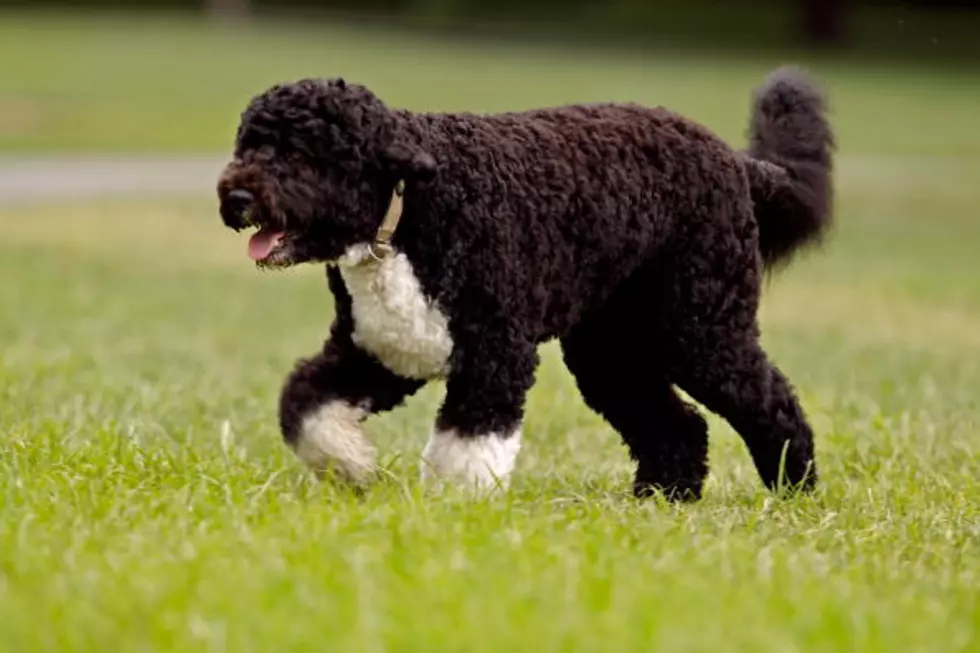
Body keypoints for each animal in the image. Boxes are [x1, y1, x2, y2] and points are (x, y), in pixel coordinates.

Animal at [216, 66, 836, 500]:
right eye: (248, 143)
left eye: (300, 152)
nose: (236, 196)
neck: (410, 210)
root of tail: (737, 162)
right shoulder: (379, 350)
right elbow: (306, 404)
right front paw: (351, 465)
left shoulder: (496, 353)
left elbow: (467, 446)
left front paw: (452, 511)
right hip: (611, 350)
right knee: (677, 425)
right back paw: (660, 501)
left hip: (700, 329)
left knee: (771, 401)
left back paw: (794, 487)